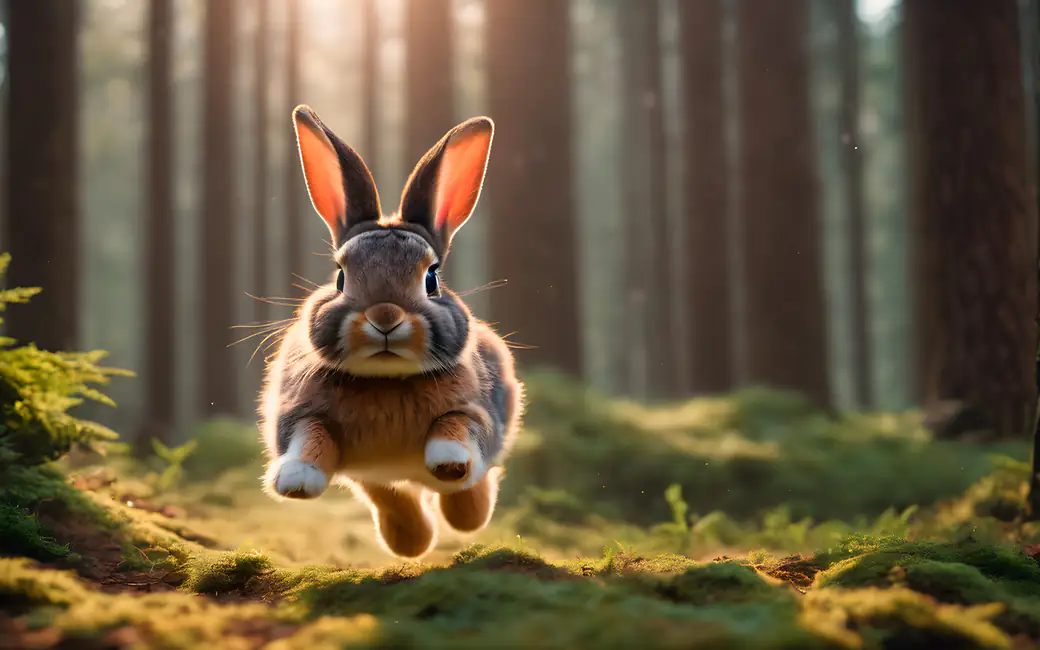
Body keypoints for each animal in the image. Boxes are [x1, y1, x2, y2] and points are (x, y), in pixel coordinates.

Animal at [258, 104, 525, 559]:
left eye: (431, 279)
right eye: (340, 277)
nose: (384, 317)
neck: (386, 380)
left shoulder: (478, 411)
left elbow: (458, 428)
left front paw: (450, 460)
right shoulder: (298, 414)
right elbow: (310, 437)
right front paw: (296, 480)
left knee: (469, 490)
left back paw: (463, 514)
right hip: (375, 479)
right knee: (390, 495)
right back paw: (412, 543)